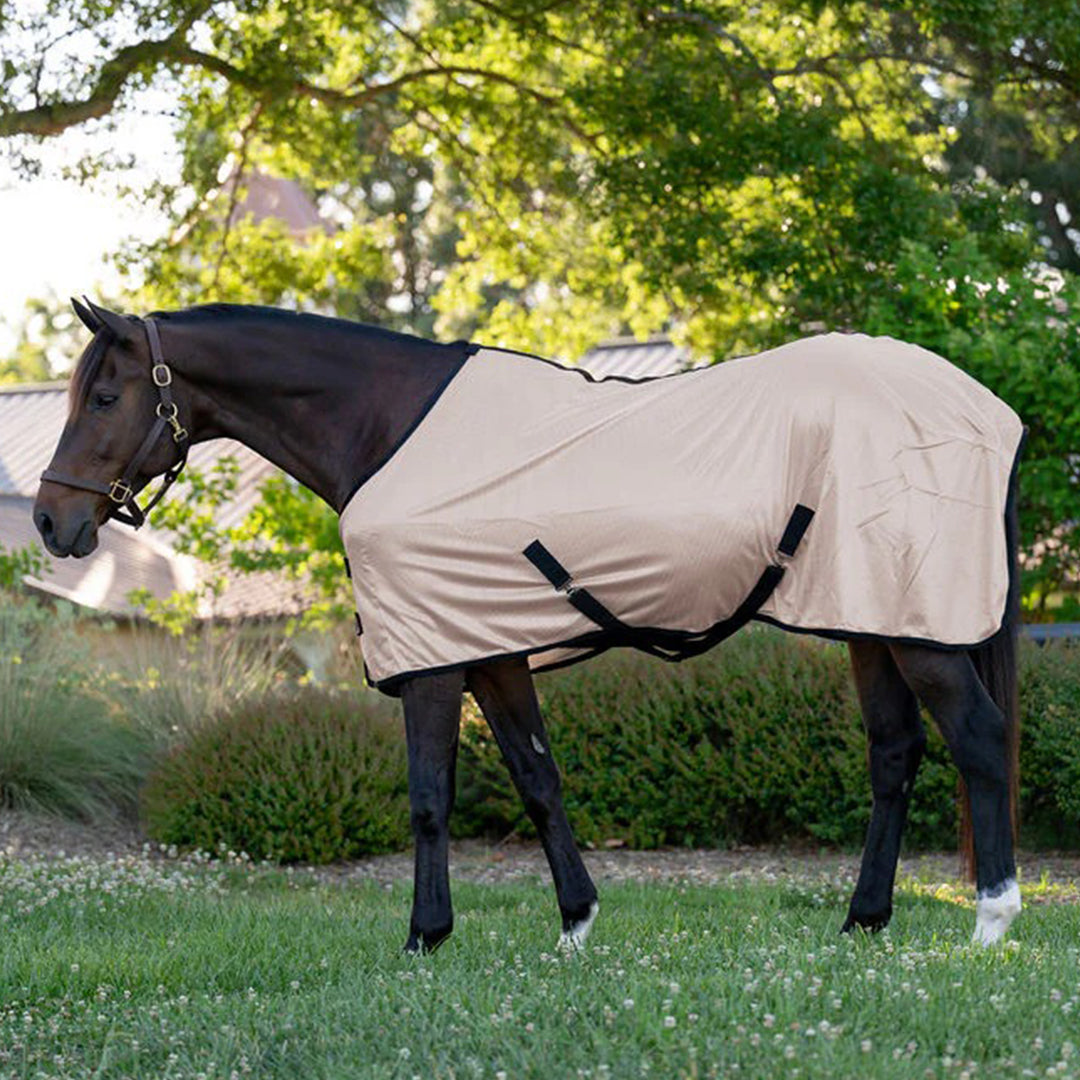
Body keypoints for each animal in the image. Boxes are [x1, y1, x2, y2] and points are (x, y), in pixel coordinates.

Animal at [33, 298, 1024, 952]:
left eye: (106, 398)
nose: (51, 521)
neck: (387, 428)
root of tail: (987, 412)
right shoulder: (490, 648)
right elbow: (538, 779)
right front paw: (577, 924)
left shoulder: (433, 657)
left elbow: (429, 797)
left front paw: (426, 937)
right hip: (870, 618)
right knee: (895, 754)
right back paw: (865, 921)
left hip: (921, 632)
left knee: (979, 739)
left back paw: (992, 921)